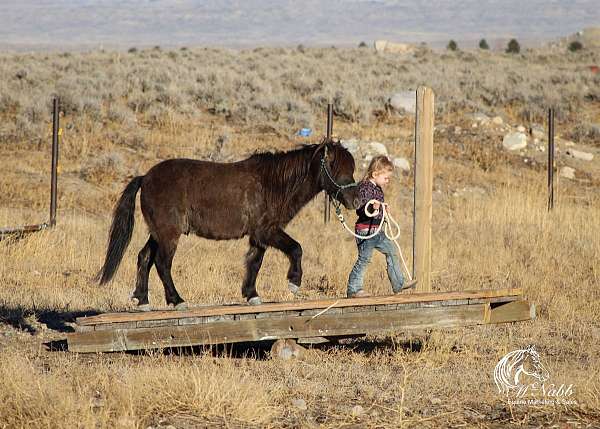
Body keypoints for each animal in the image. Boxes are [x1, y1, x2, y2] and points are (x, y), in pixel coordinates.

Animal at [96, 140, 358, 308]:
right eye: (335, 167)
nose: (354, 200)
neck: (272, 184)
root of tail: (145, 178)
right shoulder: (267, 231)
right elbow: (296, 248)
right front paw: (294, 282)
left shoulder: (259, 236)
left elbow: (255, 262)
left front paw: (251, 295)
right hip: (169, 234)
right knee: (162, 263)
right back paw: (177, 300)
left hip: (159, 233)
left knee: (144, 257)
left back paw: (142, 300)